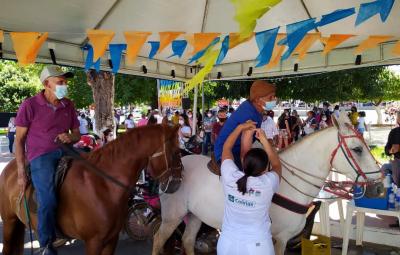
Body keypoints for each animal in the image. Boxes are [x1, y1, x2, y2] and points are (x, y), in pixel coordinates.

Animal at [0, 123, 181, 253]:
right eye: (176, 152)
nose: (177, 183)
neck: (103, 185)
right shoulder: (94, 241)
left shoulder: (111, 240)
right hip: (9, 222)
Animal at [152, 113, 382, 255]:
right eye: (357, 149)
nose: (379, 187)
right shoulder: (279, 239)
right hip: (172, 217)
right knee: (157, 240)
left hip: (194, 215)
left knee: (188, 241)